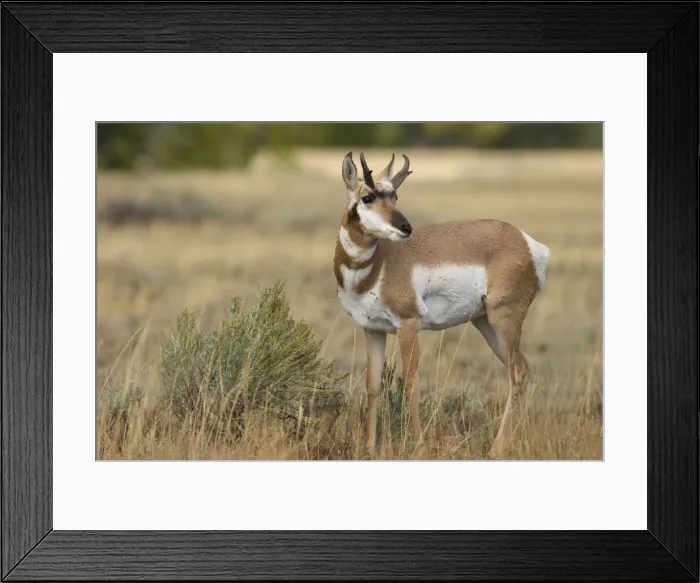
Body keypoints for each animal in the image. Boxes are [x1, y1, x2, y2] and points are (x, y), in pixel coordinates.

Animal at [333, 151, 550, 459]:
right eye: (368, 197)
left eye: (394, 196)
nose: (406, 228)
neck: (378, 265)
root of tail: (527, 242)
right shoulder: (372, 329)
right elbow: (372, 385)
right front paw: (369, 449)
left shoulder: (408, 325)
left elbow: (411, 383)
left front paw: (419, 447)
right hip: (485, 323)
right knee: (522, 369)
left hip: (504, 319)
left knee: (516, 372)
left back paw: (496, 449)